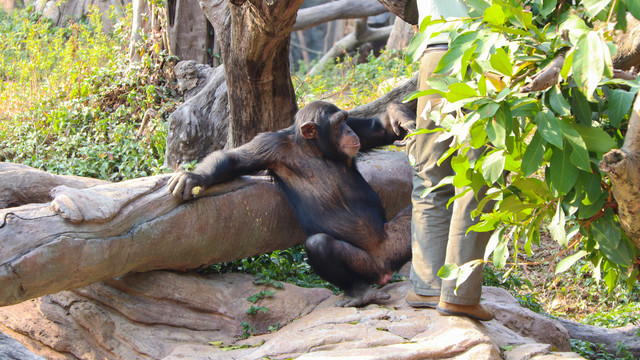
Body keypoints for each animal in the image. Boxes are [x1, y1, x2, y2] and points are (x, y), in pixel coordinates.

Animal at [168, 101, 416, 306]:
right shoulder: (269, 145)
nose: (348, 131)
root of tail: (386, 268)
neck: (312, 148)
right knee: (319, 245)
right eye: (338, 124)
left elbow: (379, 129)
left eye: (345, 120)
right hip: (368, 266)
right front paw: (195, 177)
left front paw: (398, 115)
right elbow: (234, 159)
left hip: (394, 242)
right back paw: (361, 292)